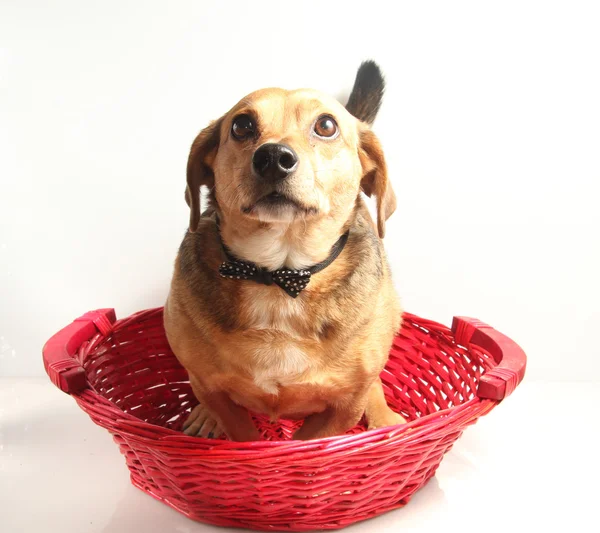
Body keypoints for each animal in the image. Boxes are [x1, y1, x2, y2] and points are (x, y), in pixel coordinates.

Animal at [165, 61, 408, 440]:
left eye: (326, 125)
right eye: (241, 125)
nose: (273, 157)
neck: (278, 273)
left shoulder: (343, 409)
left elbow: (312, 441)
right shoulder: (212, 389)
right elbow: (244, 435)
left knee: (375, 385)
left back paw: (385, 419)